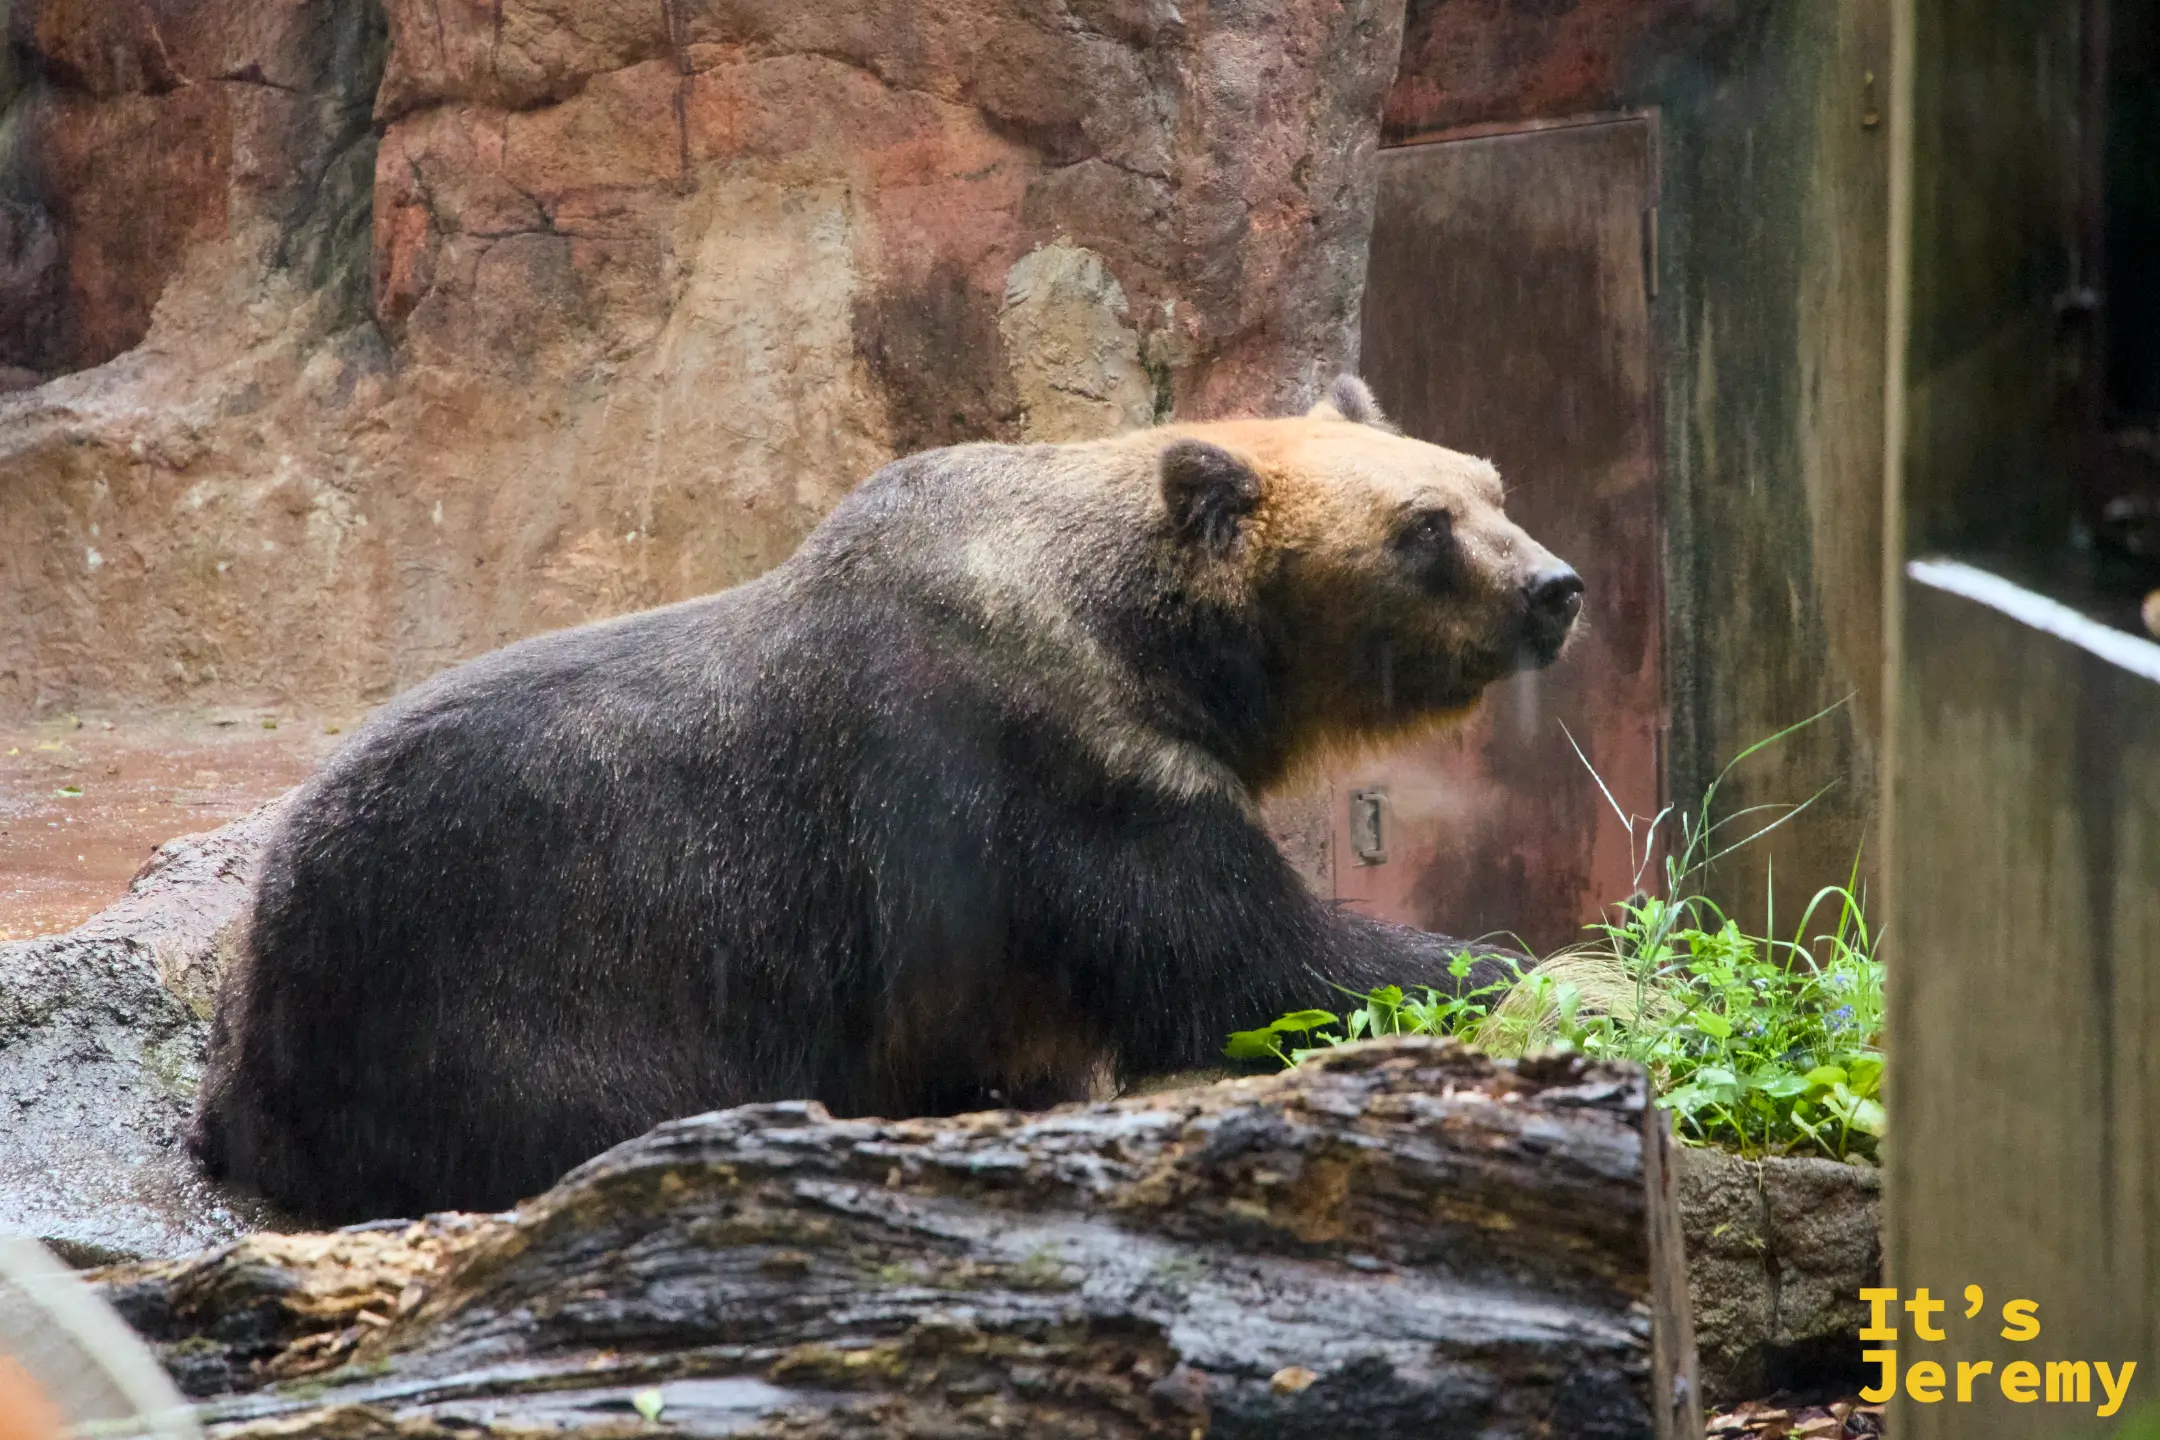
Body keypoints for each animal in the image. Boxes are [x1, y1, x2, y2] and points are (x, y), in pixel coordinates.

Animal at [189, 375, 1583, 1223]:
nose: (1556, 588)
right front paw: (1529, 963)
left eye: (1491, 484)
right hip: (488, 987)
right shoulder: (1050, 765)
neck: (1150, 643)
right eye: (1423, 526)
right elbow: (1245, 956)